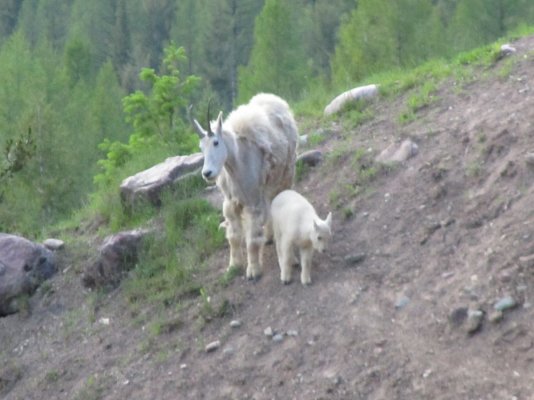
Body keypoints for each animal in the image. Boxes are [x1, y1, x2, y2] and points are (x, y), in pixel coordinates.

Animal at [191, 92, 300, 280]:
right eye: (201, 147)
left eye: (216, 142)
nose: (207, 173)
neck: (236, 165)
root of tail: (277, 100)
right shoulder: (231, 203)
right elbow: (234, 237)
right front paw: (233, 266)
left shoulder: (252, 202)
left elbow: (252, 241)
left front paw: (253, 271)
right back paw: (269, 236)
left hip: (287, 173)